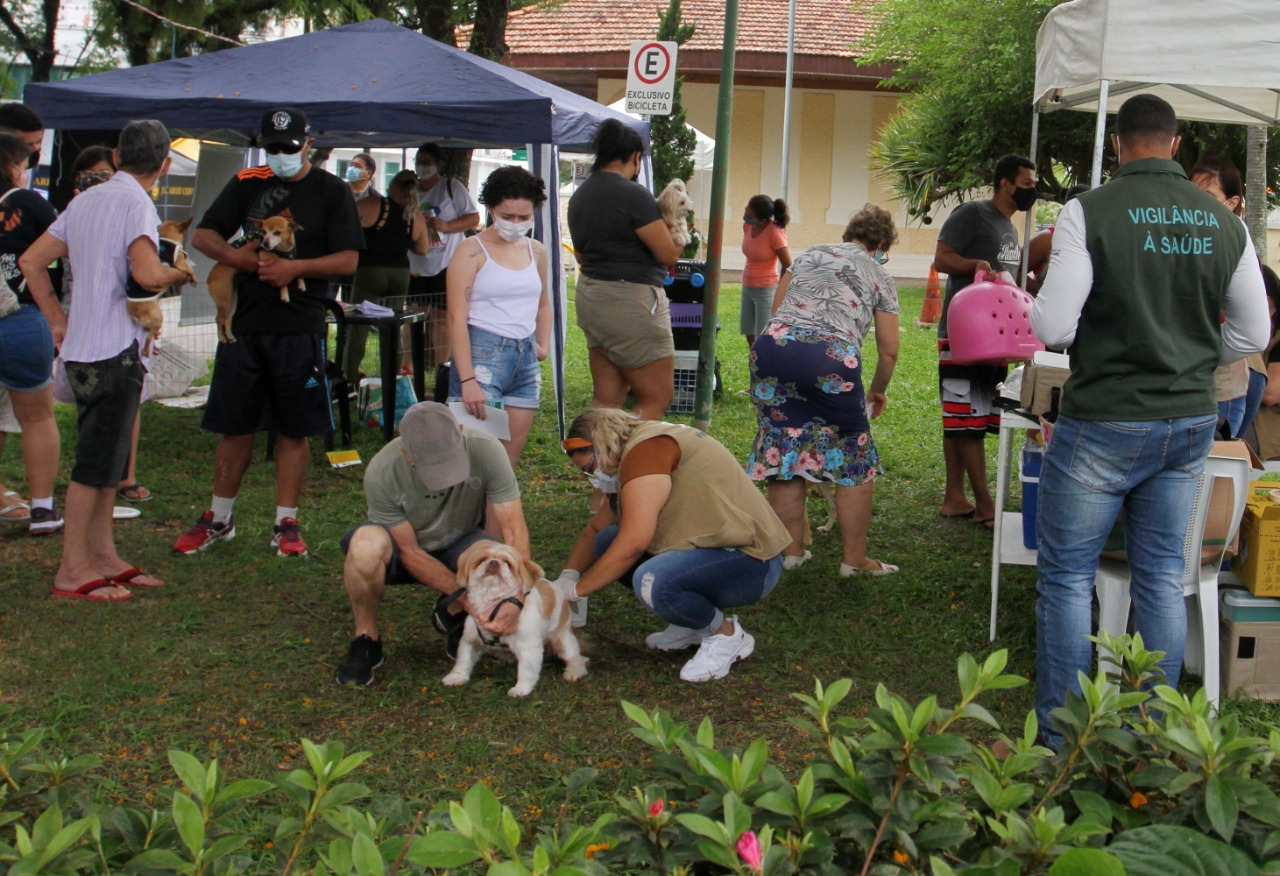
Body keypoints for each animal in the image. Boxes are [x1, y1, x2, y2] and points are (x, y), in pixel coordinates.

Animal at [126, 217, 195, 358]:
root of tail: (135, 313)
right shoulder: (180, 262)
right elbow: (189, 268)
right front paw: (193, 277)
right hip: (158, 319)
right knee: (148, 338)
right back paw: (146, 352)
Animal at [208, 213, 303, 343]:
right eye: (263, 232)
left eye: (277, 233)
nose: (264, 244)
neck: (283, 250)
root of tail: (209, 278)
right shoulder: (270, 262)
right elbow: (282, 279)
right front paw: (285, 294)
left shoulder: (288, 262)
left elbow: (295, 269)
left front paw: (301, 283)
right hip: (224, 300)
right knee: (218, 319)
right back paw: (222, 337)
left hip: (232, 301)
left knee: (228, 318)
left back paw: (230, 336)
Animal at [437, 540, 583, 696]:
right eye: (482, 560)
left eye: (507, 562)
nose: (493, 562)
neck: (493, 604)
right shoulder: (470, 639)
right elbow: (463, 660)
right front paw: (456, 677)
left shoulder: (528, 646)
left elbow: (526, 671)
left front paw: (521, 689)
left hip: (562, 641)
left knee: (577, 658)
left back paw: (574, 672)